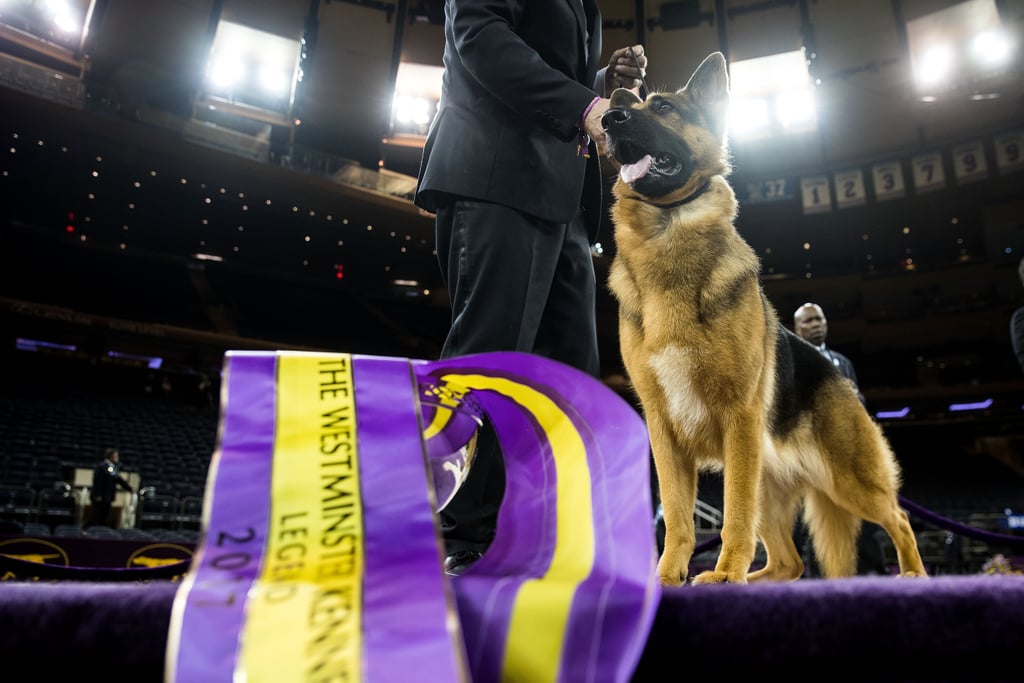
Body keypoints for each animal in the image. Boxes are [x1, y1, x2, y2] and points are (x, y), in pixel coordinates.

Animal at [598, 54, 929, 589]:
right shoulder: (663, 433)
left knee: (897, 518)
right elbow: (677, 517)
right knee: (790, 562)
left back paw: (914, 573)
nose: (608, 119)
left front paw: (726, 570)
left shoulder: (738, 421)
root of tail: (831, 368)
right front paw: (668, 577)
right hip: (772, 483)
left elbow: (733, 513)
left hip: (846, 478)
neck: (668, 231)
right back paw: (745, 579)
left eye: (664, 108)